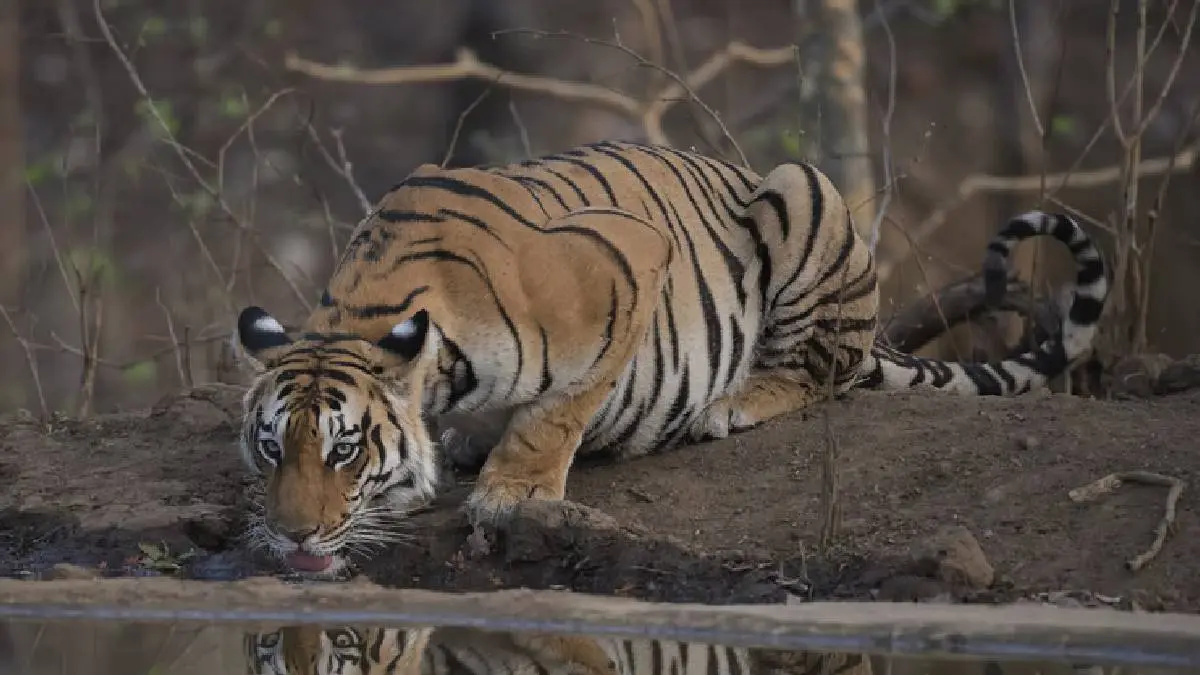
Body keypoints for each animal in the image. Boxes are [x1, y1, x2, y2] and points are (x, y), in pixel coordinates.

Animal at [231, 140, 1109, 575]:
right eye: (271, 448)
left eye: (345, 450)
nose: (293, 535)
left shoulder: (625, 263)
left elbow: (557, 411)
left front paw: (512, 491)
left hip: (802, 193)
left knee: (821, 371)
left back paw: (734, 402)